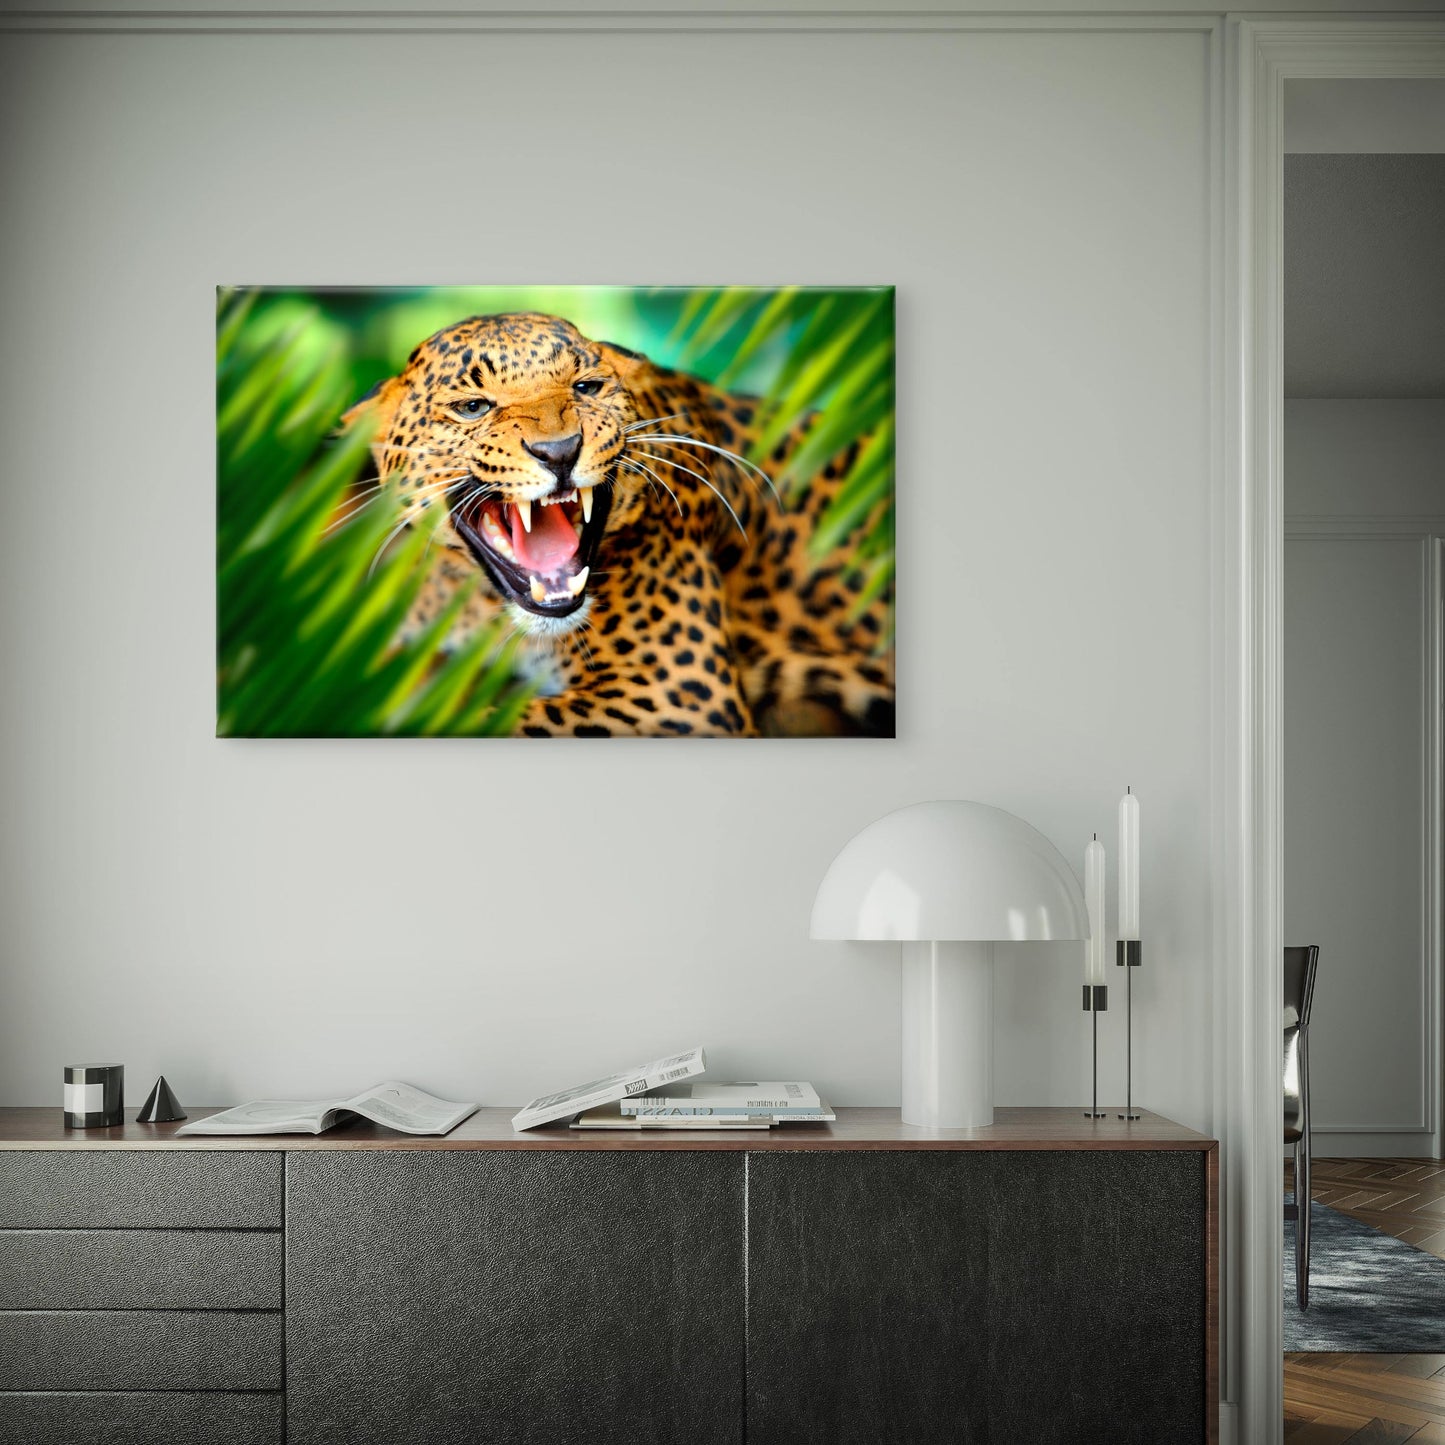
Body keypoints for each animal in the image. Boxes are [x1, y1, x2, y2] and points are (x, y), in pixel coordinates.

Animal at [343, 312, 894, 738]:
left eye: (587, 387)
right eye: (473, 407)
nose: (559, 451)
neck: (487, 608)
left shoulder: (681, 696)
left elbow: (495, 720)